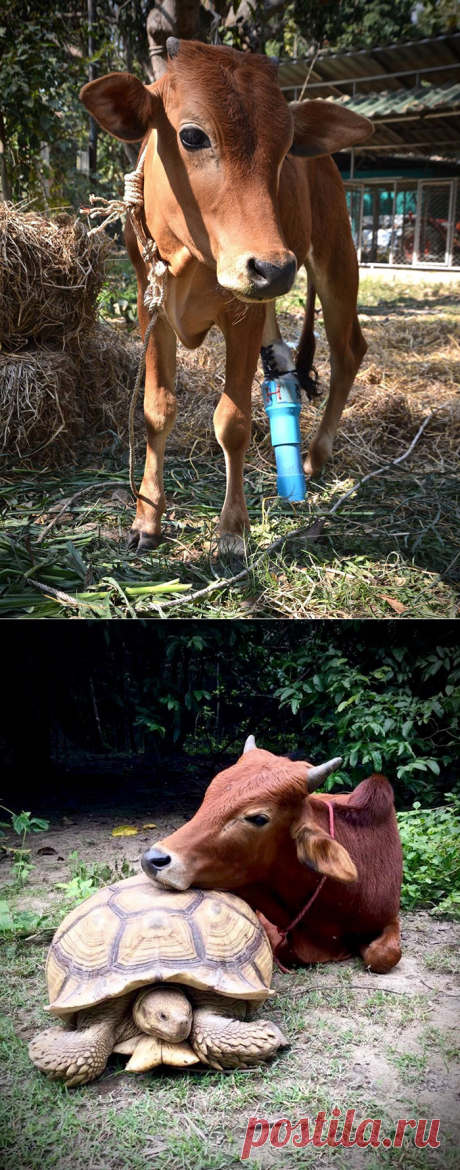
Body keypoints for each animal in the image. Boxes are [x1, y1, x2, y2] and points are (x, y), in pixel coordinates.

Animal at [80, 36, 369, 547]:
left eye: (287, 147)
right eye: (192, 136)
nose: (273, 269)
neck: (191, 257)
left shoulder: (242, 315)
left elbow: (232, 422)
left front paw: (233, 530)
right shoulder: (151, 305)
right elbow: (157, 410)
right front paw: (147, 518)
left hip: (334, 257)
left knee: (348, 350)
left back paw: (314, 456)